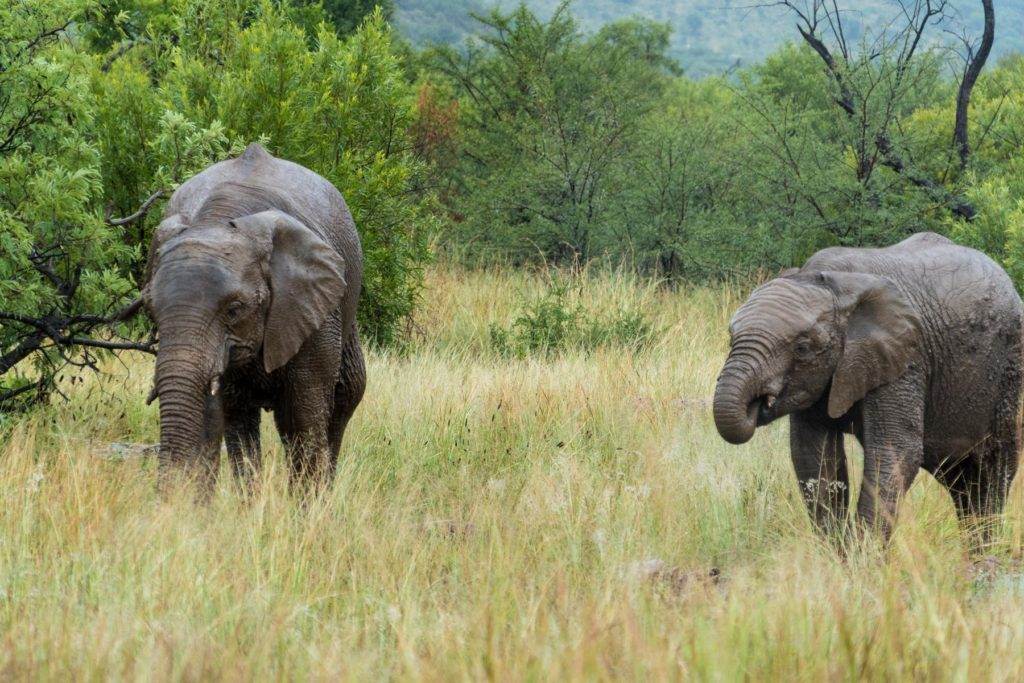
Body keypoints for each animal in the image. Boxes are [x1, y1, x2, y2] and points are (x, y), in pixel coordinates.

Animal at [142, 141, 366, 489]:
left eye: (234, 310)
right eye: (151, 311)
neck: (222, 217)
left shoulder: (311, 310)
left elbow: (304, 418)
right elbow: (232, 420)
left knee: (345, 394)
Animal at [712, 235, 1024, 540]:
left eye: (802, 348)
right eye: (731, 340)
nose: (757, 402)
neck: (835, 284)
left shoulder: (905, 359)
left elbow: (895, 453)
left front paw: (863, 553)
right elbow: (813, 457)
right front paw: (836, 552)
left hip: (1008, 371)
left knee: (992, 470)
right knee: (960, 481)